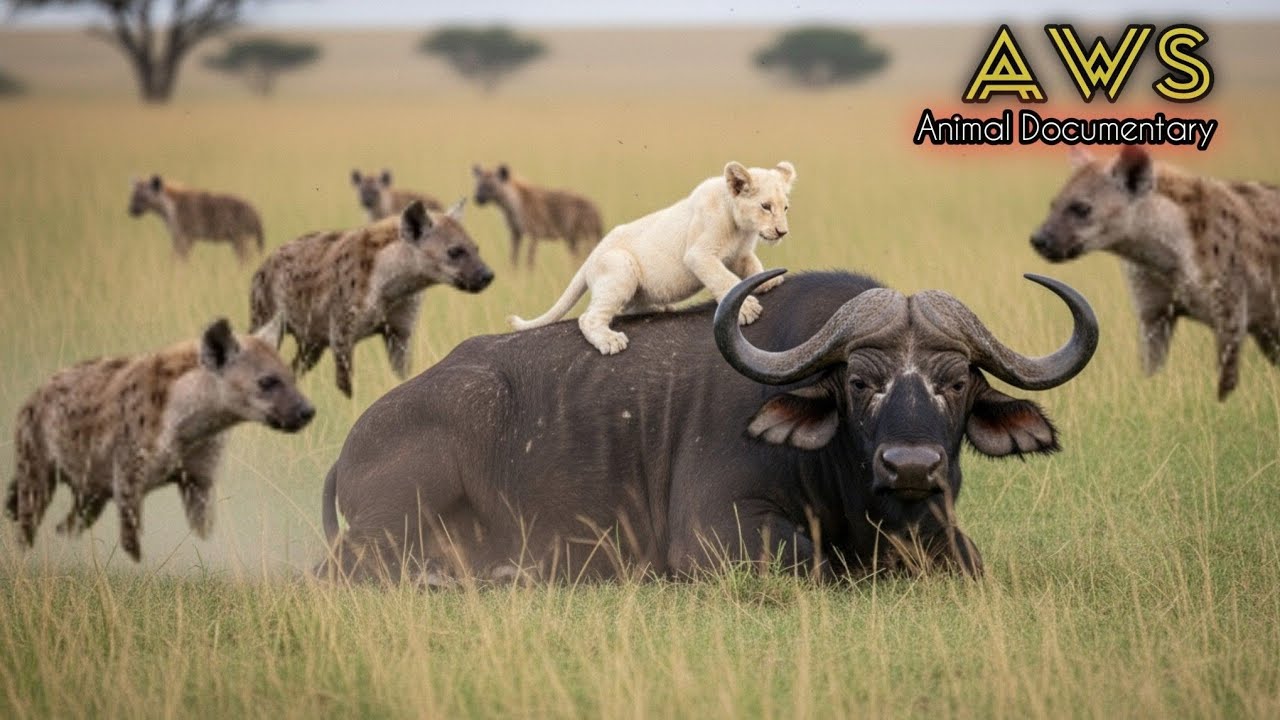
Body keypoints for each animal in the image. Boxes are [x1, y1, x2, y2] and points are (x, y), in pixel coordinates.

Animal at [508, 161, 796, 354]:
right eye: (765, 206)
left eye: (785, 208)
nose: (782, 232)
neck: (740, 227)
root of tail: (590, 258)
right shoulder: (699, 254)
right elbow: (723, 279)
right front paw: (747, 309)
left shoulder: (739, 254)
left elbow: (752, 265)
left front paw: (768, 281)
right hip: (621, 268)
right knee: (588, 318)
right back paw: (611, 341)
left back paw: (660, 308)